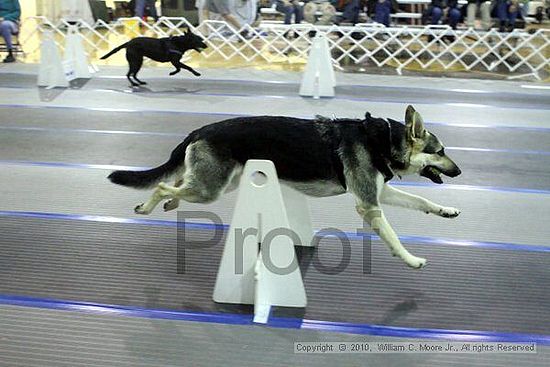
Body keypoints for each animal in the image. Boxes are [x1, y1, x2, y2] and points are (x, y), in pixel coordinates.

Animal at [108, 106, 462, 270]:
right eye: (441, 151)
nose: (459, 171)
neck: (384, 142)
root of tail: (200, 129)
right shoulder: (368, 204)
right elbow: (393, 237)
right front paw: (410, 259)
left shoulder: (379, 193)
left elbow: (420, 200)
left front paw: (445, 210)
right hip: (212, 190)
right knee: (163, 185)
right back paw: (148, 206)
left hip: (222, 183)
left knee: (178, 182)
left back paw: (171, 205)